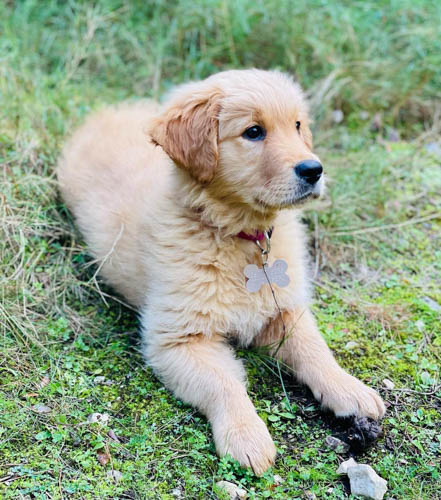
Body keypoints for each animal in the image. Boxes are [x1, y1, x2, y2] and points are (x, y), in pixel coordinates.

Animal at [56, 69, 384, 472]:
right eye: (254, 132)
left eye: (297, 126)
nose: (314, 170)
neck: (238, 236)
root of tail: (107, 111)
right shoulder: (178, 339)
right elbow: (223, 383)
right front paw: (246, 436)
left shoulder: (283, 307)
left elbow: (314, 349)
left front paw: (349, 388)